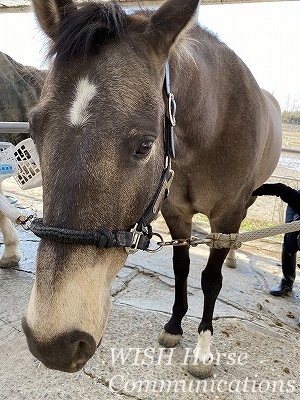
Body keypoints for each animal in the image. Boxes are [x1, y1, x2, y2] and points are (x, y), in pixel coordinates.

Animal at [22, 0, 282, 376]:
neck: (215, 122)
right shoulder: (176, 212)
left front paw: (203, 350)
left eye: (145, 145)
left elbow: (210, 279)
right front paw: (174, 326)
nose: (51, 342)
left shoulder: (226, 216)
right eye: (34, 127)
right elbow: (181, 268)